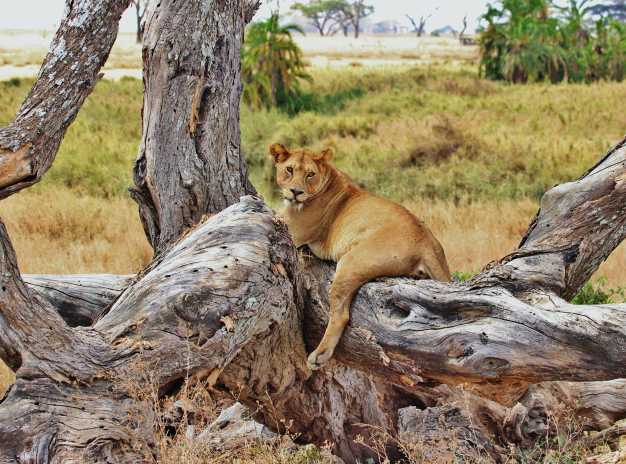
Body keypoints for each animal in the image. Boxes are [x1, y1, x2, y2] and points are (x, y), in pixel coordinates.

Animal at [268, 143, 448, 372]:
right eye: (289, 170)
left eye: (310, 174)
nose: (296, 192)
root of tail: (426, 240)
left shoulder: (291, 229)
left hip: (350, 262)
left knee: (341, 315)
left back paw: (319, 356)